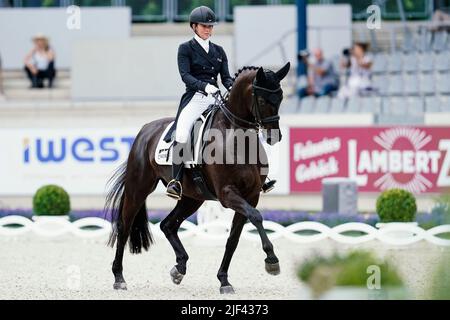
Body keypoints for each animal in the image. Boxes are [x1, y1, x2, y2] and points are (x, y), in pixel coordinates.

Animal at [103, 61, 290, 294]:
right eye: (263, 99)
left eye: (281, 97)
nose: (275, 136)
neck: (236, 137)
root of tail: (145, 130)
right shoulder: (228, 194)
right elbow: (256, 217)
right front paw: (272, 260)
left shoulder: (251, 195)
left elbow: (233, 239)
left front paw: (224, 280)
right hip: (138, 189)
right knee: (124, 227)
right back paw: (119, 277)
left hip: (192, 198)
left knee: (168, 225)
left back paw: (179, 268)